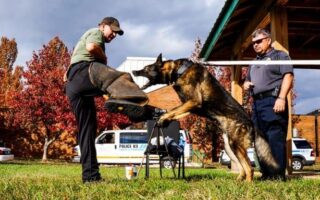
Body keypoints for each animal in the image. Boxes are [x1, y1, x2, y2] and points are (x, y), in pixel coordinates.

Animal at [132, 54, 278, 182]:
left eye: (146, 68)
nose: (134, 71)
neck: (180, 71)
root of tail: (251, 123)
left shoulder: (194, 101)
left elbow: (173, 110)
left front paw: (162, 118)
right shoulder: (189, 106)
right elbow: (174, 111)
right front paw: (164, 118)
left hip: (236, 145)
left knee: (249, 168)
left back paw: (247, 185)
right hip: (230, 147)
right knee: (243, 167)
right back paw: (238, 181)